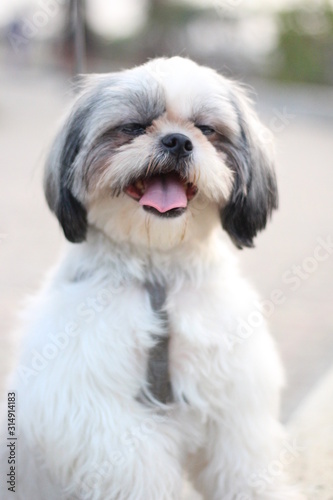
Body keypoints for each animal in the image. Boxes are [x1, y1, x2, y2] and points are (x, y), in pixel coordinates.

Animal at [0, 57, 298, 500]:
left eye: (206, 129)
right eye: (134, 127)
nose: (178, 141)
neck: (158, 274)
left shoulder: (236, 392)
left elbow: (246, 463)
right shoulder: (88, 404)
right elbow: (140, 468)